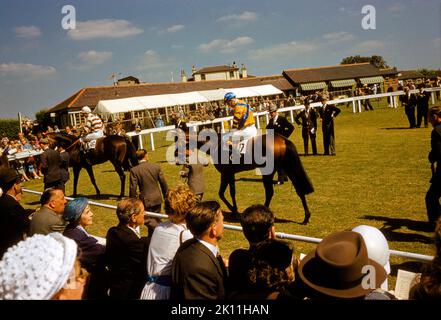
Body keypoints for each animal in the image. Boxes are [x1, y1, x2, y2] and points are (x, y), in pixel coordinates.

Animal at [175, 122, 312, 225]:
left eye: (178, 143)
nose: (177, 160)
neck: (216, 144)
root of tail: (282, 140)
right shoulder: (230, 173)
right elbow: (229, 192)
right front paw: (235, 210)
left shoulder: (226, 173)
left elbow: (223, 193)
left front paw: (235, 211)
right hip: (286, 168)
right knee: (299, 189)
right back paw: (306, 217)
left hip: (268, 172)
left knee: (269, 192)